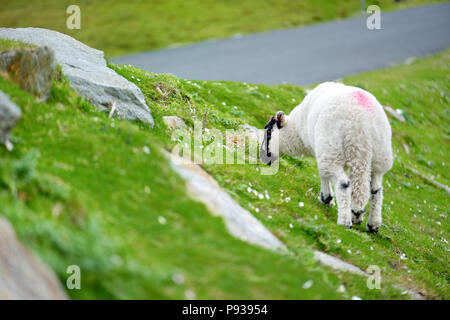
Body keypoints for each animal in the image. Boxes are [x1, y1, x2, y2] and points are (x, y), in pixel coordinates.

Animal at [262, 82, 392, 232]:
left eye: (268, 132)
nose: (263, 158)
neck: (297, 130)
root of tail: (363, 128)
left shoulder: (322, 149)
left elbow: (323, 174)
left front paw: (327, 198)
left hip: (333, 147)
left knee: (343, 183)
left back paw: (344, 221)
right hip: (379, 157)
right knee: (375, 190)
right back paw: (371, 224)